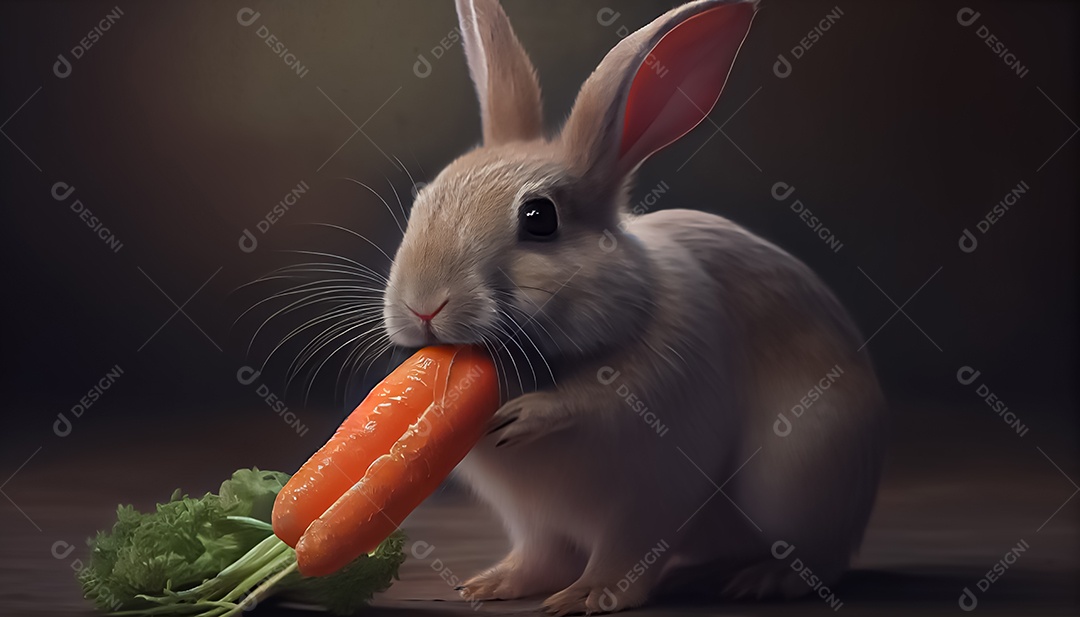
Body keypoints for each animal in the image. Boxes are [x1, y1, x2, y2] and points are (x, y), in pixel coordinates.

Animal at [380, 0, 887, 614]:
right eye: (423, 198)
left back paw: (757, 580)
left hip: (802, 480)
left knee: (818, 560)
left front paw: (588, 594)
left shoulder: (653, 467)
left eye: (539, 218)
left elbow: (619, 515)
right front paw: (491, 586)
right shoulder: (534, 518)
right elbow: (542, 555)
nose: (423, 306)